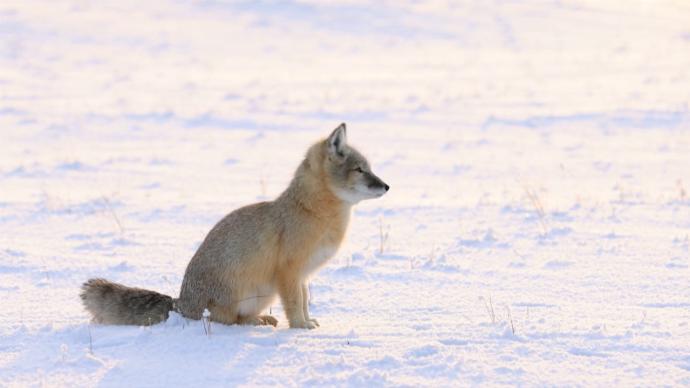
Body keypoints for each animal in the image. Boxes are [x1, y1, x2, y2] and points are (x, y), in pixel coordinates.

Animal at [79, 123, 388, 328]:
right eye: (360, 170)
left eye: (369, 168)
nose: (387, 186)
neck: (312, 212)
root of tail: (181, 303)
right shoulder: (289, 272)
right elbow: (295, 305)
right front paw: (300, 328)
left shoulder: (301, 276)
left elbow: (303, 301)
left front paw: (308, 322)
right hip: (251, 293)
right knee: (228, 320)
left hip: (264, 293)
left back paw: (261, 319)